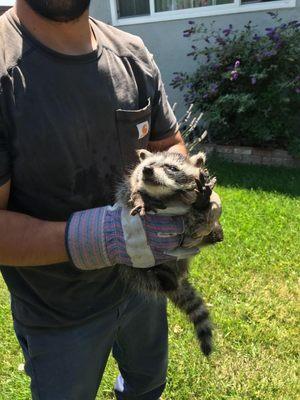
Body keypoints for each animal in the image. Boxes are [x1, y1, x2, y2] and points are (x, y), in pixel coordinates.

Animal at [116, 150, 223, 356]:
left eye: (171, 167)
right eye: (146, 165)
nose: (147, 170)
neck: (167, 197)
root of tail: (177, 275)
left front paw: (204, 201)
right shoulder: (126, 191)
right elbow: (131, 193)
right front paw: (141, 197)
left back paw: (214, 234)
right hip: (131, 266)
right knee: (141, 274)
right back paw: (163, 277)